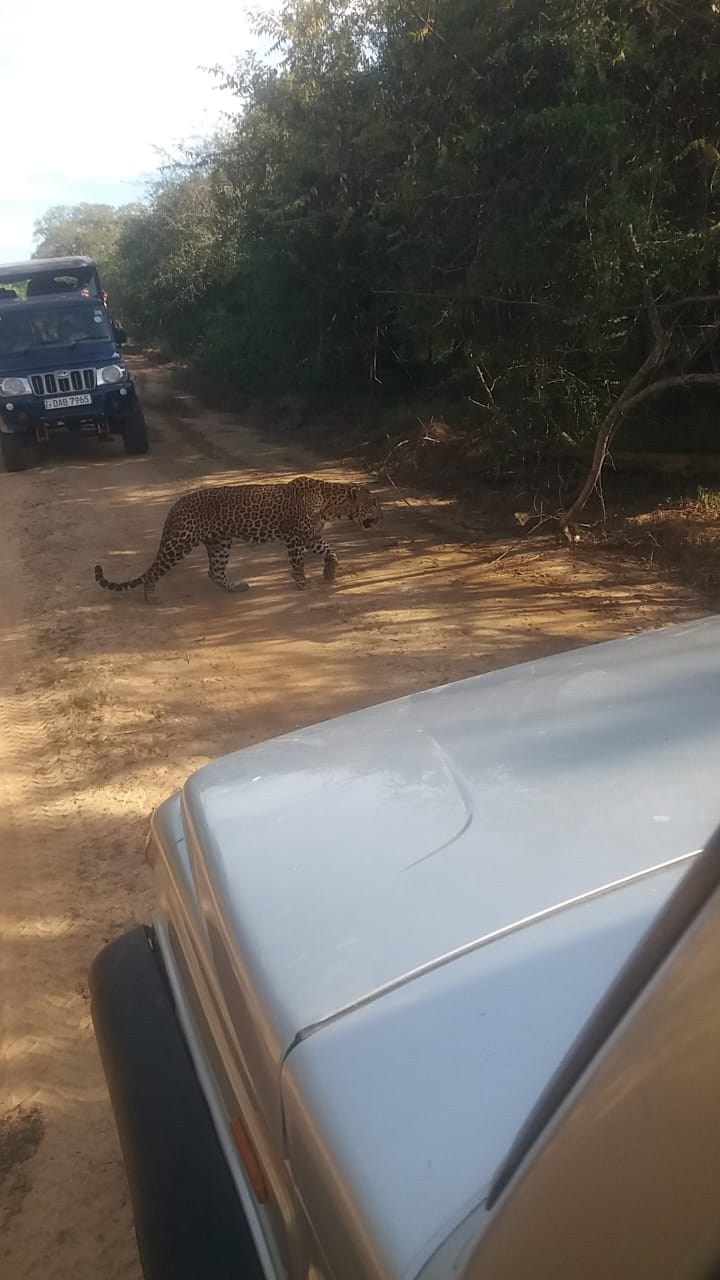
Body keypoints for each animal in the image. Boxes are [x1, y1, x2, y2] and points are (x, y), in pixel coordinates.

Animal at [94, 475, 382, 603]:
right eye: (373, 504)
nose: (382, 515)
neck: (332, 504)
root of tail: (175, 505)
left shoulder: (311, 536)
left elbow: (331, 551)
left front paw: (330, 573)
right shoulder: (294, 538)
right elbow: (298, 565)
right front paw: (303, 585)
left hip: (220, 543)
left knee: (214, 572)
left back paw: (236, 588)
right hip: (181, 541)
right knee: (154, 569)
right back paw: (151, 597)